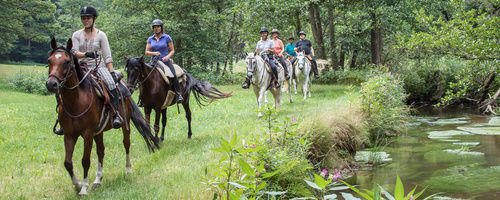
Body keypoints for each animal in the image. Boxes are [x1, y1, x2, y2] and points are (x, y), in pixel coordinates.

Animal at [45, 38, 158, 196]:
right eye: (49, 60)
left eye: (66, 61)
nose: (51, 84)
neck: (75, 101)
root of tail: (124, 86)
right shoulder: (69, 135)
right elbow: (68, 162)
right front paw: (77, 185)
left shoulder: (87, 134)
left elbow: (85, 160)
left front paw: (83, 188)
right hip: (98, 132)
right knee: (101, 151)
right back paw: (98, 180)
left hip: (124, 125)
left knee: (126, 144)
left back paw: (128, 170)